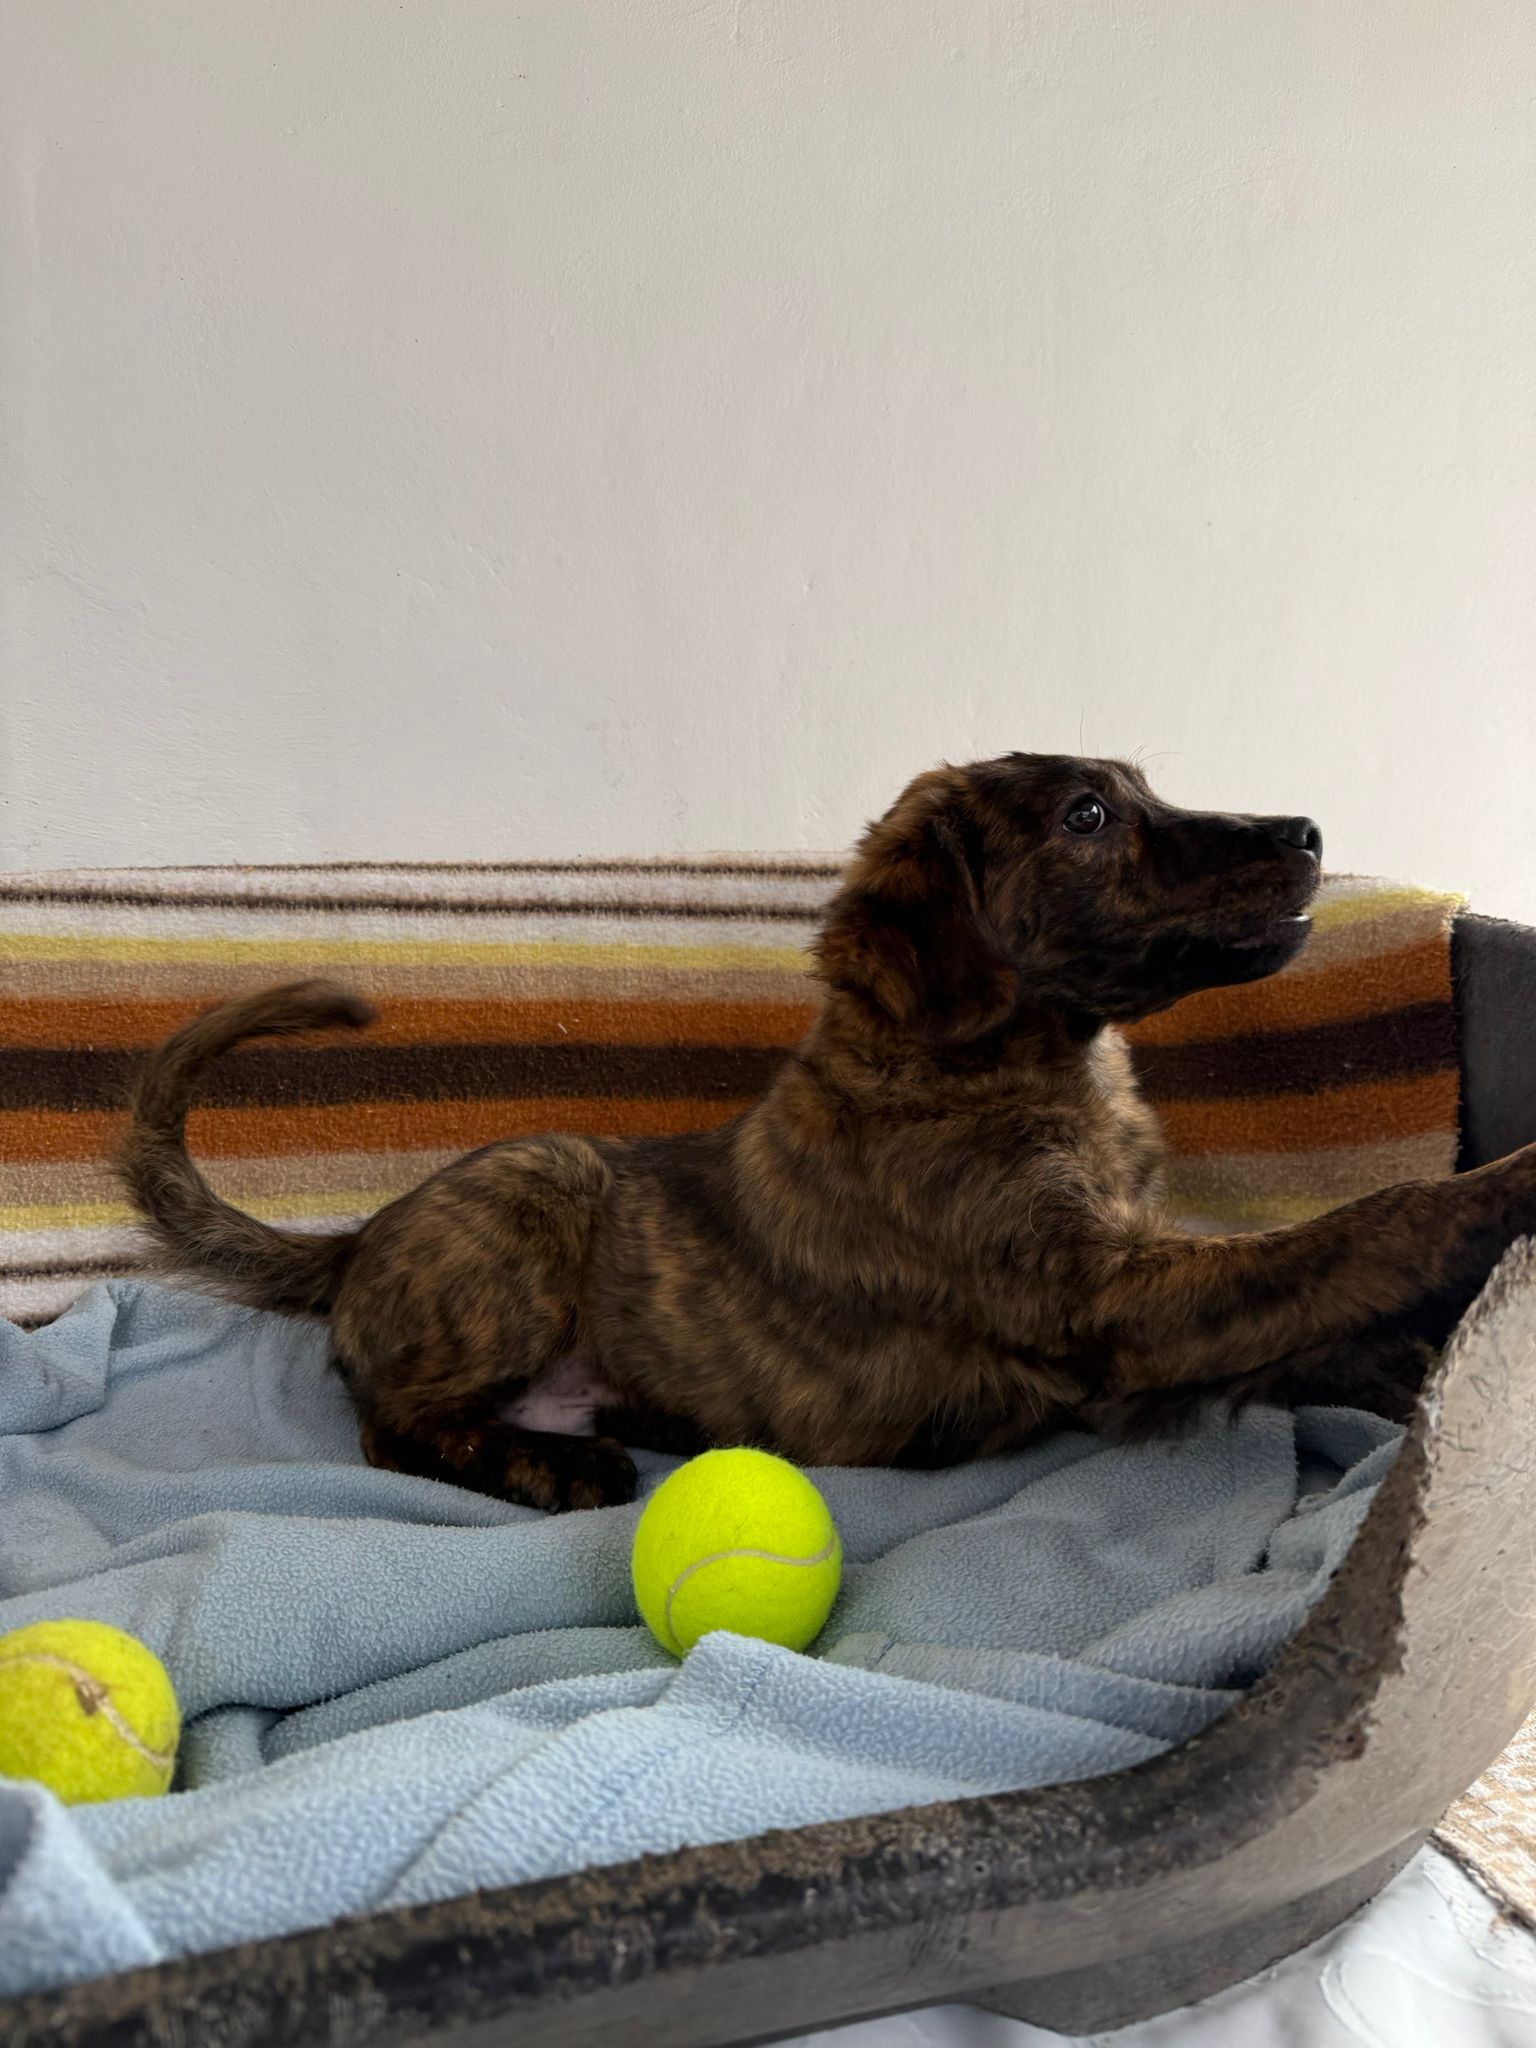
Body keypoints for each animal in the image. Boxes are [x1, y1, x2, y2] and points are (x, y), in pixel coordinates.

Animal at [119, 753, 1536, 1511]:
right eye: (1086, 815)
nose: (1307, 829)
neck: (1003, 1067)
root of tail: (359, 1236)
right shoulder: (1109, 1300)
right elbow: (1361, 1226)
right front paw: (1512, 1184)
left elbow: (1319, 1312)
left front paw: (1413, 1370)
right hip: (542, 1176)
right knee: (385, 1425)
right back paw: (549, 1464)